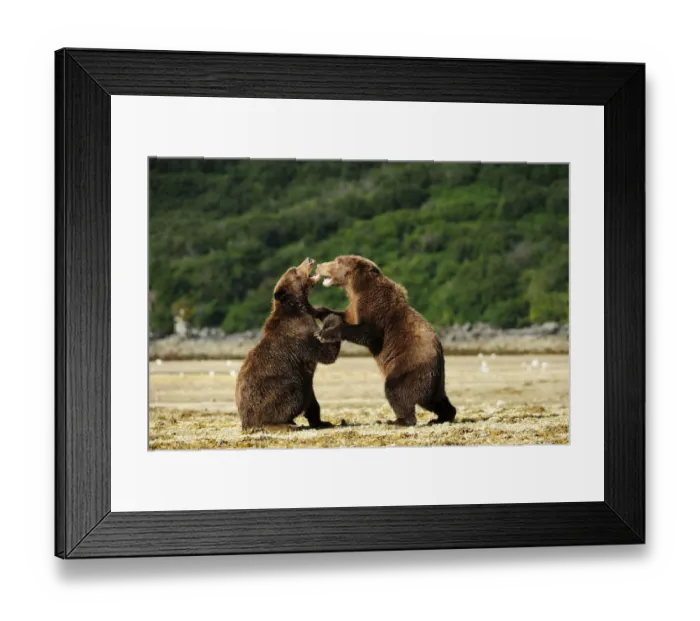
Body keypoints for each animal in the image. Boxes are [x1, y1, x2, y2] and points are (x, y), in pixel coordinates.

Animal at [235, 258, 341, 431]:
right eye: (295, 271)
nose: (309, 259)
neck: (298, 306)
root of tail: (245, 421)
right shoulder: (300, 335)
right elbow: (325, 353)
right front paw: (333, 320)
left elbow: (312, 400)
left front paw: (322, 421)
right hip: (276, 386)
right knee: (291, 394)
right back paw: (286, 424)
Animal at [314, 255, 456, 427]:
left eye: (338, 261)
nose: (319, 265)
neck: (356, 287)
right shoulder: (354, 307)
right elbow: (342, 315)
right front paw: (316, 309)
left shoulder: (376, 306)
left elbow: (369, 333)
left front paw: (324, 333)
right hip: (435, 382)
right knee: (434, 400)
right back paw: (442, 417)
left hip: (410, 367)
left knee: (396, 390)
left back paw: (399, 420)